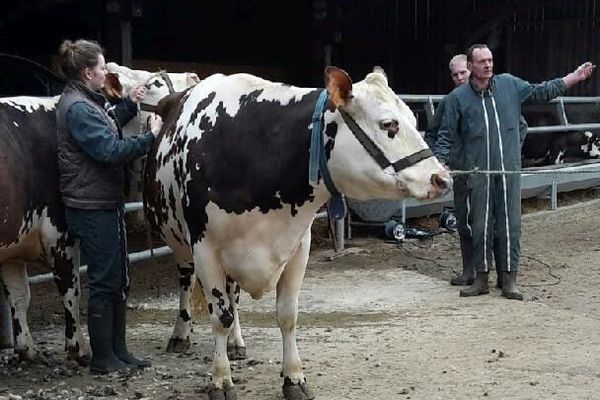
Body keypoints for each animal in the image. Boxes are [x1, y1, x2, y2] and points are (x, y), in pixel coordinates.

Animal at [143, 67, 448, 398]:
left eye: (414, 120)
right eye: (388, 124)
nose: (442, 179)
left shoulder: (297, 246)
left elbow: (287, 316)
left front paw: (294, 377)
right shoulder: (205, 248)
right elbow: (219, 317)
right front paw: (220, 380)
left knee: (234, 295)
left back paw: (237, 342)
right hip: (182, 247)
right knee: (187, 285)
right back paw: (180, 335)